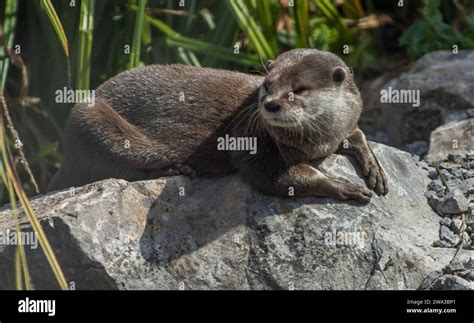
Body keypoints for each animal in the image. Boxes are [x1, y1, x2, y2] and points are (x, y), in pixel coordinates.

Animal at [48, 48, 388, 204]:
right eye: (267, 84)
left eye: (298, 89)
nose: (270, 104)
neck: (319, 140)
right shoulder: (251, 141)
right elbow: (280, 177)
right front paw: (343, 187)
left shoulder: (343, 125)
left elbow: (357, 132)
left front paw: (375, 169)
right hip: (90, 121)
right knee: (116, 170)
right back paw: (177, 169)